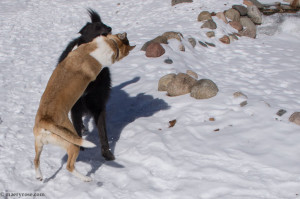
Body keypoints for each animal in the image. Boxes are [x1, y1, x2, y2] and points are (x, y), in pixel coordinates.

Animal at [33, 33, 135, 182]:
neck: (112, 43)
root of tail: (47, 121)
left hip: (39, 143)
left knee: (36, 160)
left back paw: (39, 176)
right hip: (73, 143)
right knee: (69, 166)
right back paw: (86, 178)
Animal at [58, 9, 115, 161]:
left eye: (104, 25)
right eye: (96, 27)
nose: (109, 28)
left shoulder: (98, 105)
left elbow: (103, 132)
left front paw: (107, 153)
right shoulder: (76, 106)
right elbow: (77, 126)